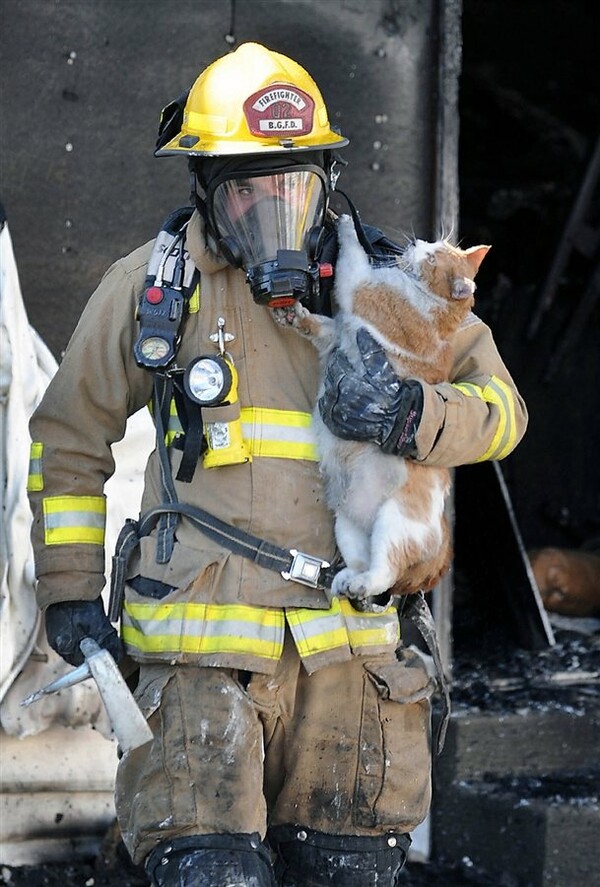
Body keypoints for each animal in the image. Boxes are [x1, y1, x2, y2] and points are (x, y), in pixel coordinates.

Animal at [292, 214, 492, 604]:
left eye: (432, 258)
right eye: (434, 247)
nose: (418, 244)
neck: (435, 309)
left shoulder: (359, 287)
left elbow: (353, 256)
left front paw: (345, 224)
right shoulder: (335, 333)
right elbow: (319, 327)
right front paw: (296, 318)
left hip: (395, 526)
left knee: (385, 572)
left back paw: (361, 584)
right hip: (348, 527)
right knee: (364, 564)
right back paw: (347, 581)